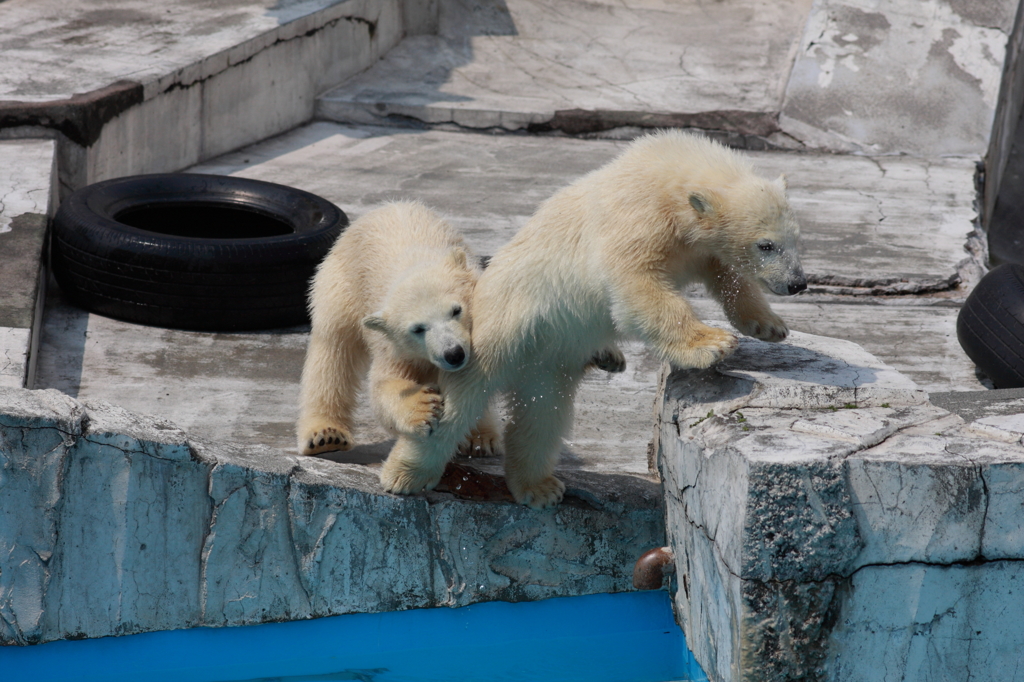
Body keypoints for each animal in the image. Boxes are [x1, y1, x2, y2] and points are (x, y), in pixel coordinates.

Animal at [294, 201, 501, 456]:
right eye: (418, 329)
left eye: (456, 310)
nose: (453, 354)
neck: (415, 263)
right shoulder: (393, 344)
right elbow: (385, 385)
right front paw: (423, 408)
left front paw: (480, 438)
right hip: (340, 287)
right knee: (333, 352)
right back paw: (325, 435)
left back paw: (482, 438)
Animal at [380, 131, 802, 503]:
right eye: (765, 244)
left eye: (796, 238)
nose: (798, 283)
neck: (667, 175)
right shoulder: (637, 220)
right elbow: (638, 288)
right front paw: (712, 343)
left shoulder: (694, 243)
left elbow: (726, 274)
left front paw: (769, 324)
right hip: (495, 337)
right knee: (460, 405)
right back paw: (405, 474)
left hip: (548, 363)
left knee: (542, 418)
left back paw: (539, 487)